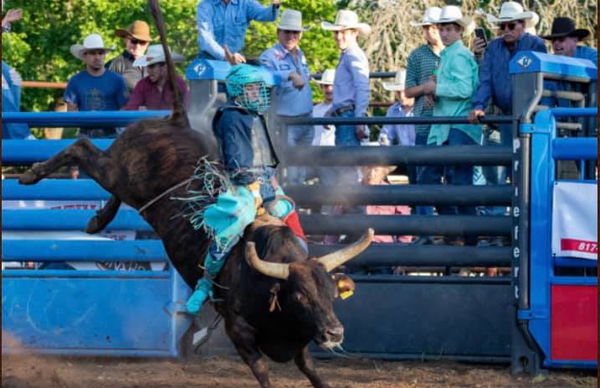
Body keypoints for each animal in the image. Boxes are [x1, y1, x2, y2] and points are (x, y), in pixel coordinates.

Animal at [18, 1, 372, 386]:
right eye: (302, 296)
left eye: (331, 293)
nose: (335, 332)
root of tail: (175, 120)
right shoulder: (240, 332)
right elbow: (263, 371)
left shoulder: (299, 342)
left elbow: (312, 370)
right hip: (117, 171)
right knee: (82, 145)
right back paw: (32, 175)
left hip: (126, 184)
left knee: (106, 182)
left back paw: (97, 220)